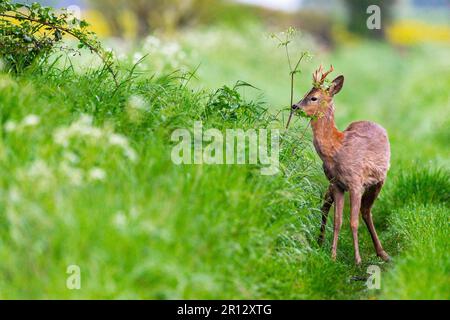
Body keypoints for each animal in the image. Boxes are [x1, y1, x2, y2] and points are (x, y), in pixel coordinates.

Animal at [288, 65, 390, 264]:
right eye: (306, 92)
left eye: (314, 97)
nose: (295, 106)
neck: (336, 148)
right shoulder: (338, 184)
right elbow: (338, 221)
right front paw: (333, 256)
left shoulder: (356, 182)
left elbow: (353, 222)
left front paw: (357, 260)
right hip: (334, 182)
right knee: (328, 203)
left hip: (379, 180)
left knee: (366, 211)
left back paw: (383, 253)